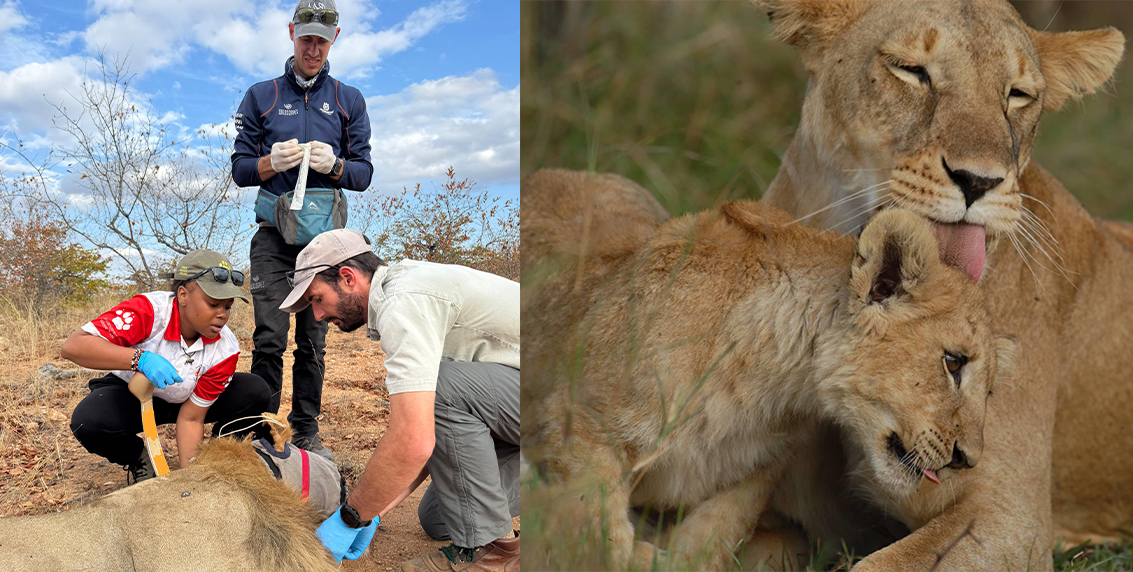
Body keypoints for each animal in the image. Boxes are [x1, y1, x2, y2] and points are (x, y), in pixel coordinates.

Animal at [521, 169, 1015, 570]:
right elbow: (598, 533)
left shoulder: (754, 473)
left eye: (991, 392)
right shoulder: (576, 425)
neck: (770, 380)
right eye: (953, 363)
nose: (969, 460)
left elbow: (711, 543)